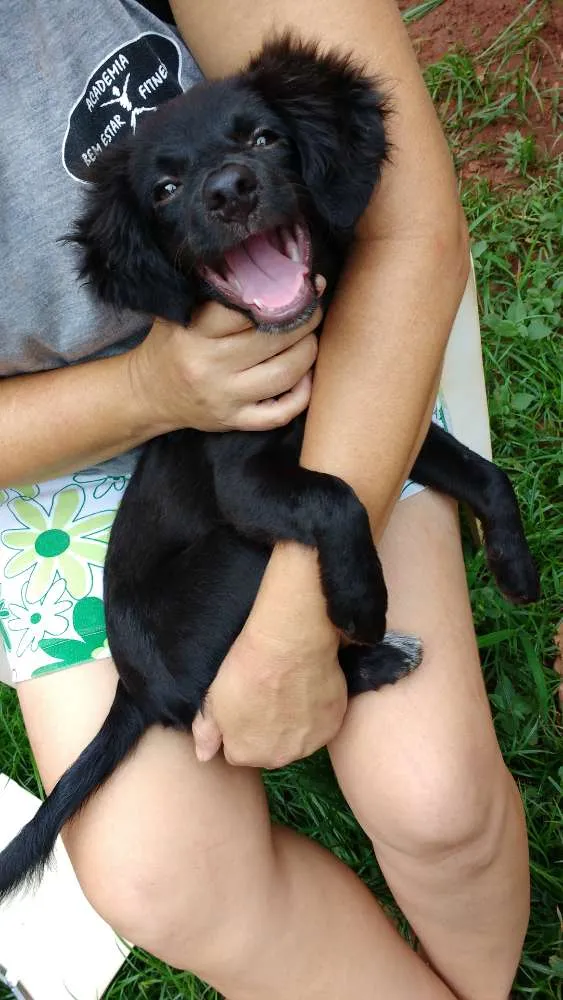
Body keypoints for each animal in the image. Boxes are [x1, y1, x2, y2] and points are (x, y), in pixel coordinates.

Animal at [0, 37, 540, 900]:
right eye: (164, 188)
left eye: (262, 139)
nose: (230, 191)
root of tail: (135, 689)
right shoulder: (247, 483)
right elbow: (338, 496)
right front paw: (360, 599)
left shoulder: (387, 428)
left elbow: (482, 474)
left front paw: (513, 567)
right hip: (236, 562)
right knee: (222, 699)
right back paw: (380, 655)